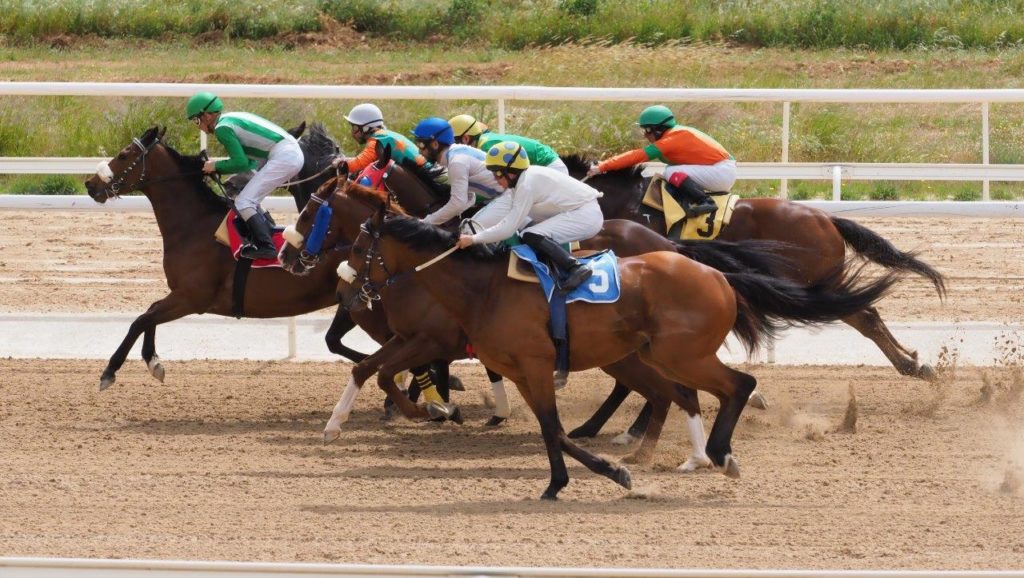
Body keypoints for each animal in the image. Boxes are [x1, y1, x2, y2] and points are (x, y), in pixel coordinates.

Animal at [81, 124, 387, 391]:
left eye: (123, 155)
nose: (90, 184)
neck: (194, 225)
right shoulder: (182, 294)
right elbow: (149, 314)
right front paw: (153, 361)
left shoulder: (193, 298)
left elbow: (142, 319)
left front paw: (110, 371)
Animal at [333, 196, 897, 498]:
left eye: (360, 246)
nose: (347, 287)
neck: (482, 287)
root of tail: (716, 272)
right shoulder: (520, 370)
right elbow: (553, 431)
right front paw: (581, 478)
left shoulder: (531, 363)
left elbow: (553, 428)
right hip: (654, 354)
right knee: (693, 393)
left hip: (679, 354)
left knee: (735, 385)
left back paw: (717, 453)